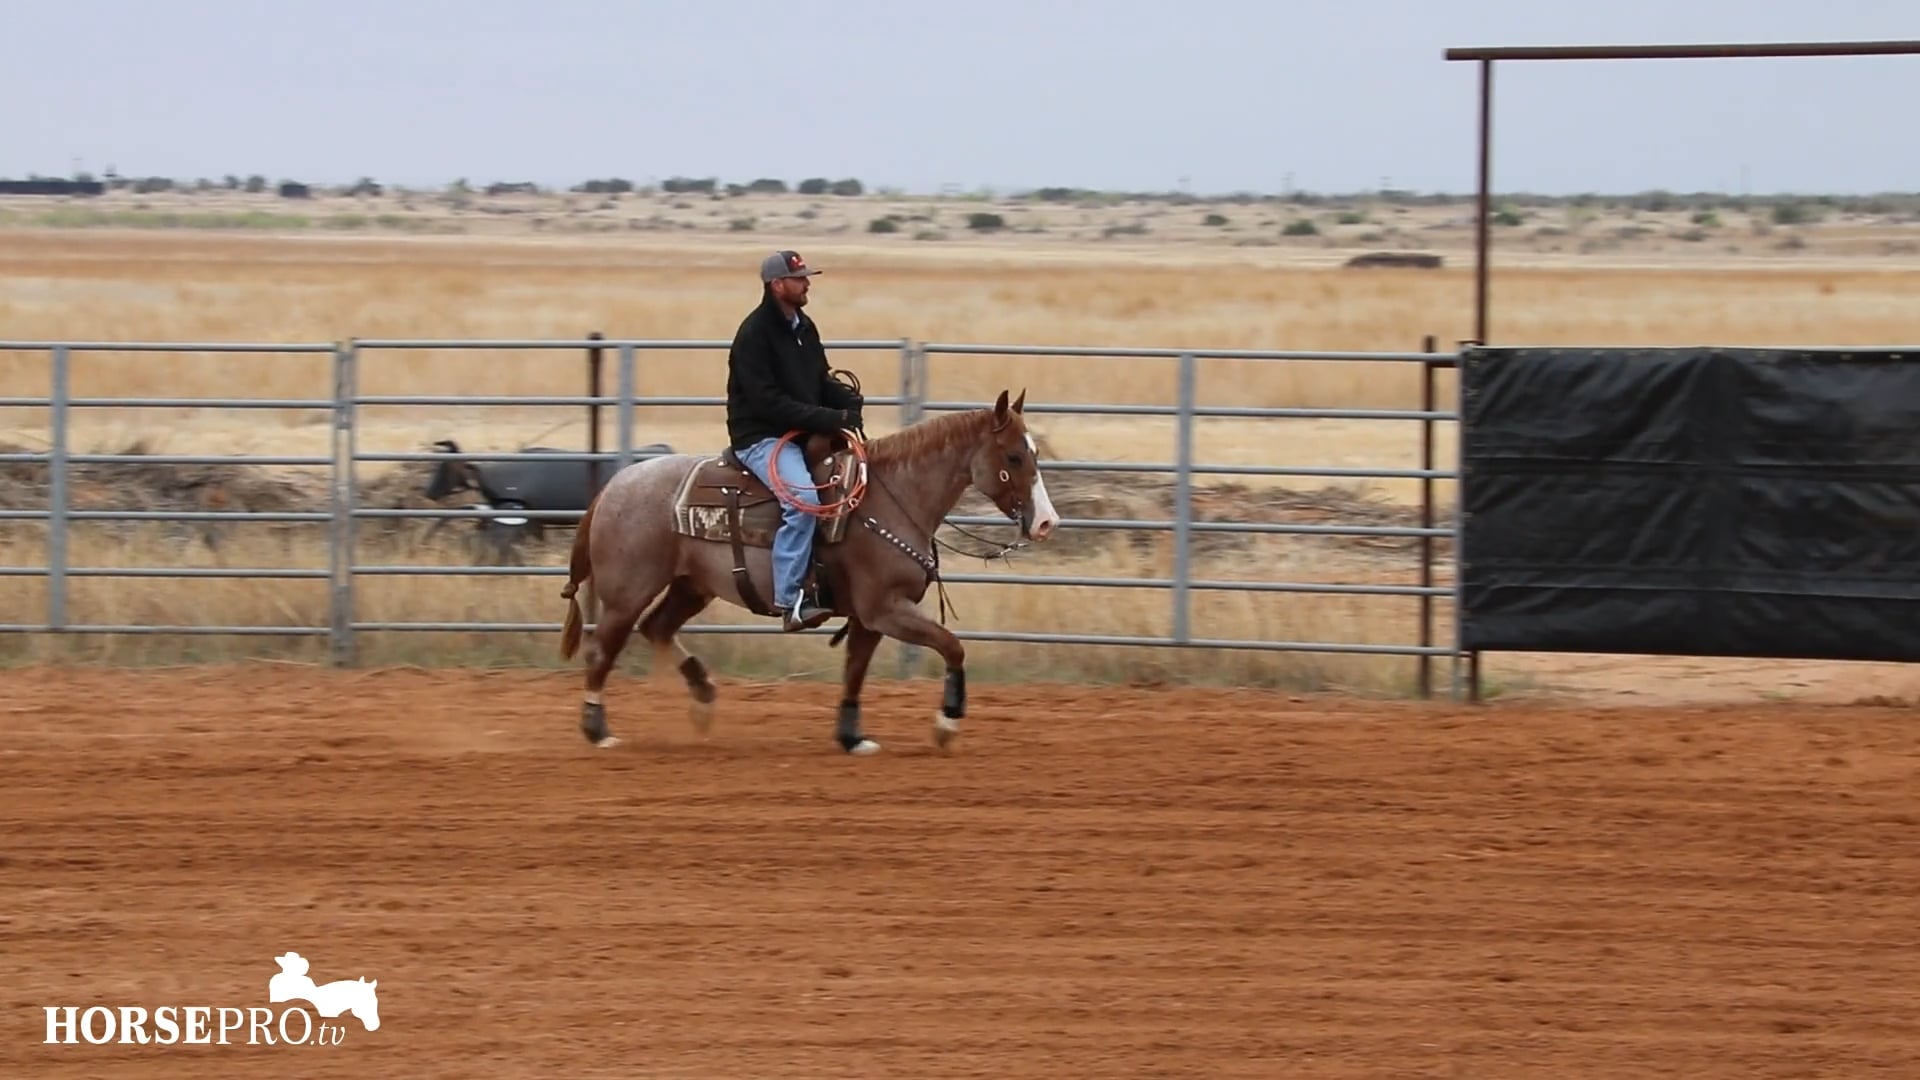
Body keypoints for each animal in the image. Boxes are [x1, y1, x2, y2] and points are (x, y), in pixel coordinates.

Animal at [557, 388, 1061, 755]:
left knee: (657, 628)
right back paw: (598, 730)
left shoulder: (867, 618)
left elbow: (854, 670)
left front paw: (851, 737)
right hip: (628, 590)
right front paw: (946, 724)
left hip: (691, 585)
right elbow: (952, 646)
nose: (1045, 522)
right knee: (602, 650)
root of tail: (613, 487)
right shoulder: (885, 610)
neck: (891, 498)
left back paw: (702, 700)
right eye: (1013, 457)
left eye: (1033, 452)